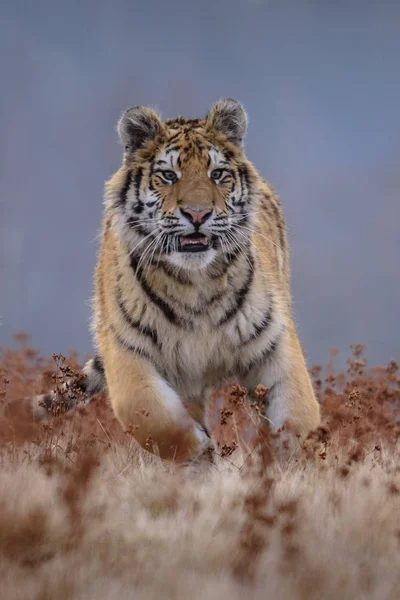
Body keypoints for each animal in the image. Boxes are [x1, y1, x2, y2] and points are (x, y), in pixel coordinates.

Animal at [35, 98, 322, 464]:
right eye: (169, 175)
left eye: (217, 174)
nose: (198, 214)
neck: (196, 281)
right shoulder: (127, 349)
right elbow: (154, 417)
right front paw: (203, 452)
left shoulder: (274, 342)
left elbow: (298, 413)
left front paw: (286, 462)